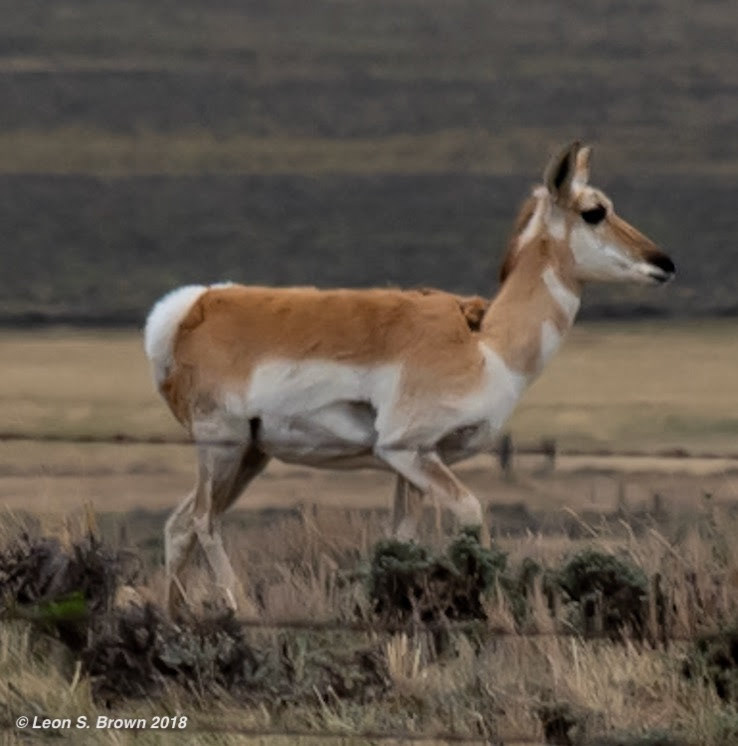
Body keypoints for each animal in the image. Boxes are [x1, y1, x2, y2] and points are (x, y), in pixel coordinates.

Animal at [144, 142, 674, 615]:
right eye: (594, 211)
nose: (664, 263)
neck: (485, 343)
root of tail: (195, 305)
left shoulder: (411, 467)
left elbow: (400, 541)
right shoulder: (409, 451)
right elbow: (471, 512)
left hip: (251, 455)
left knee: (178, 525)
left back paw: (176, 619)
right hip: (224, 447)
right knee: (204, 520)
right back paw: (242, 609)